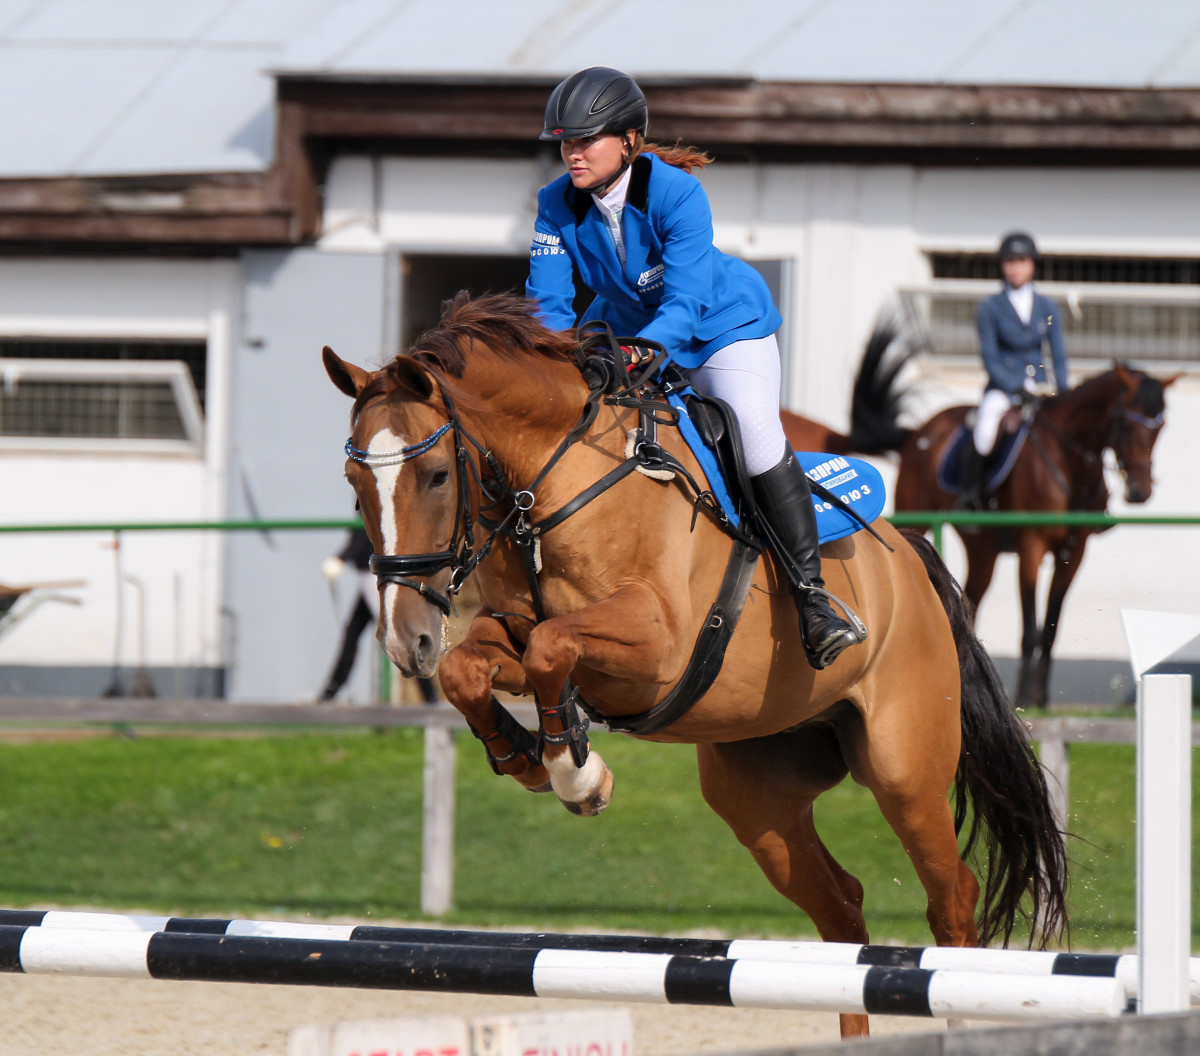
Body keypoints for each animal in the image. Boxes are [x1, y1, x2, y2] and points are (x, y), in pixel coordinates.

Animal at [321, 289, 1070, 1041]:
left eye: (437, 475)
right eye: (353, 484)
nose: (406, 641)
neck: (554, 481)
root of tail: (910, 559)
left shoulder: (655, 644)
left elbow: (551, 646)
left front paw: (577, 772)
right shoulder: (512, 632)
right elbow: (475, 668)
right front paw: (528, 755)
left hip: (903, 771)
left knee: (953, 902)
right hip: (757, 795)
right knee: (841, 909)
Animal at [888, 362, 1176, 710]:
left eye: (1160, 426)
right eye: (1125, 421)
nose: (1139, 492)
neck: (1069, 461)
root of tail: (921, 430)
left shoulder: (1073, 554)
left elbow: (1050, 629)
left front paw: (1041, 697)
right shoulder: (1031, 547)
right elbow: (1030, 627)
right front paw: (1024, 695)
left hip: (982, 551)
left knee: (969, 600)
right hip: (917, 520)